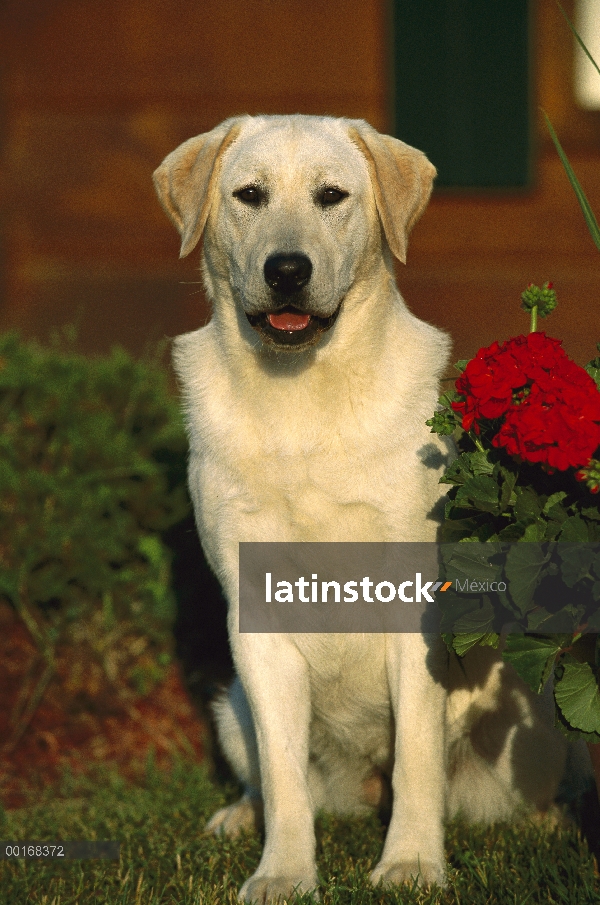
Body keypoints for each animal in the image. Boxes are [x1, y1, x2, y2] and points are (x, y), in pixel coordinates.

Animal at [152, 116, 568, 900]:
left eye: (331, 196)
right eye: (248, 195)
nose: (287, 270)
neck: (301, 395)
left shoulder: (416, 608)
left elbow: (417, 756)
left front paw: (410, 864)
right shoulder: (256, 623)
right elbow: (284, 776)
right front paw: (283, 873)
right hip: (231, 705)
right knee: (273, 780)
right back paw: (239, 817)